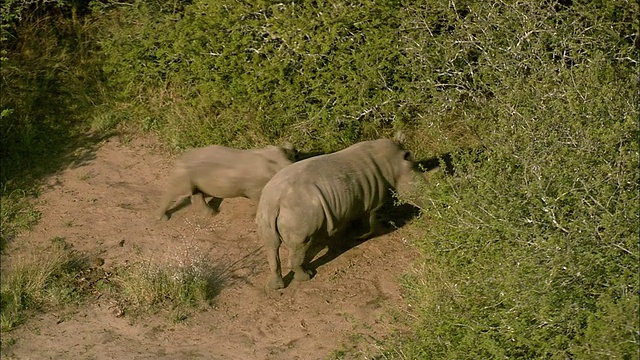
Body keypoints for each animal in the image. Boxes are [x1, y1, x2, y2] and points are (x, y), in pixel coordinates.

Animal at [258, 138, 422, 290]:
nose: (426, 210)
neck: (395, 164)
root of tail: (274, 202)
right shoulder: (375, 199)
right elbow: (372, 219)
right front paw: (368, 234)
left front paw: (356, 232)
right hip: (297, 212)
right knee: (300, 244)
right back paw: (308, 276)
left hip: (267, 209)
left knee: (271, 245)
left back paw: (276, 287)